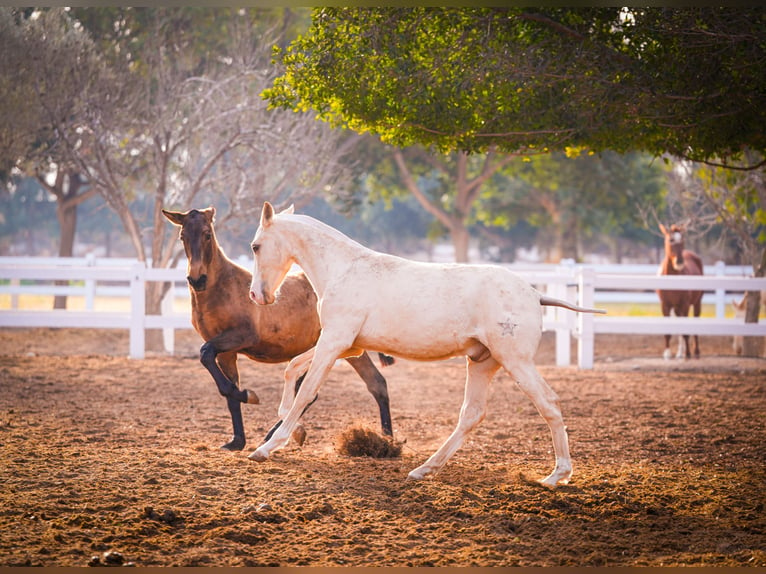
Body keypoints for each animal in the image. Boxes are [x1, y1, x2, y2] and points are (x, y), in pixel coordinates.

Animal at [160, 209, 390, 452]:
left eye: (207, 234)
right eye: (182, 236)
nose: (197, 279)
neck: (222, 289)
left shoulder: (241, 336)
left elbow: (206, 355)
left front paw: (249, 396)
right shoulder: (225, 352)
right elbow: (227, 388)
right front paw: (236, 440)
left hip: (338, 347)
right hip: (345, 349)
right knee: (374, 384)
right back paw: (387, 441)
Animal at [246, 205, 608, 488]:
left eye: (256, 246)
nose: (257, 295)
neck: (344, 269)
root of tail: (535, 293)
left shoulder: (335, 342)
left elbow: (306, 390)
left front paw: (268, 447)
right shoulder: (348, 347)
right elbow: (293, 370)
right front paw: (293, 429)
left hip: (515, 361)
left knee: (548, 403)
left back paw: (557, 476)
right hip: (482, 362)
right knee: (471, 415)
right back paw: (424, 469)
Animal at [656, 225, 704, 360]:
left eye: (682, 241)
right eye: (671, 240)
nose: (679, 262)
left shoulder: (685, 305)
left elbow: (685, 332)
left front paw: (688, 353)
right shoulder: (665, 305)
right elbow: (668, 331)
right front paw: (667, 354)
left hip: (696, 303)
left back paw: (695, 351)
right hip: (676, 308)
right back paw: (679, 353)